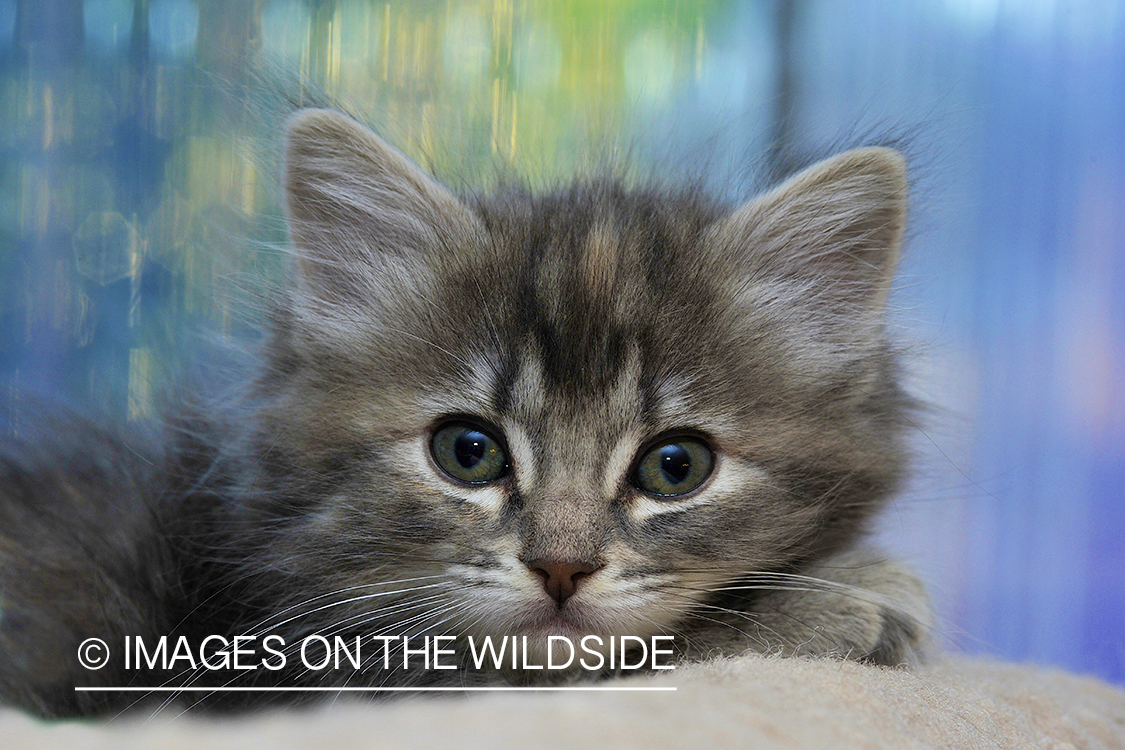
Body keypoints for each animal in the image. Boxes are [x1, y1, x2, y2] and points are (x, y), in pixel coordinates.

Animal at [0, 110, 931, 715]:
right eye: (468, 452)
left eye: (676, 466)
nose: (561, 568)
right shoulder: (292, 675)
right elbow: (614, 665)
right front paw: (837, 600)